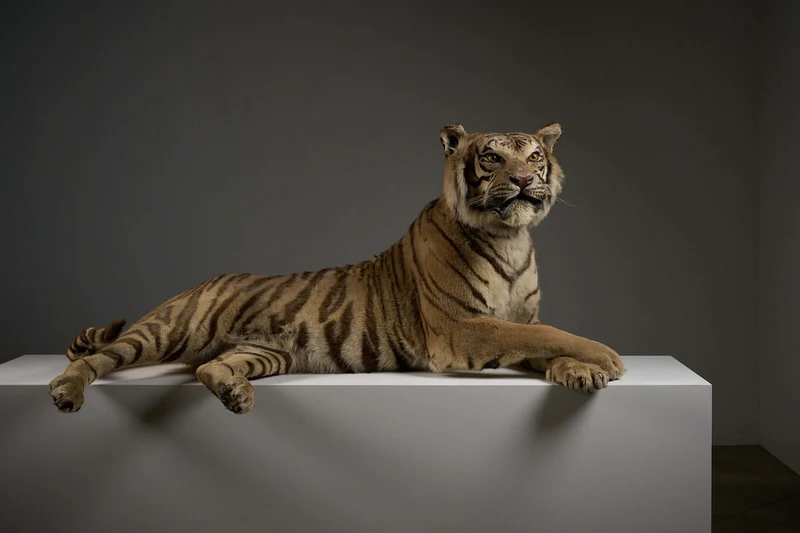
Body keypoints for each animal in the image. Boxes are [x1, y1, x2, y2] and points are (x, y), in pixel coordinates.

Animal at [49, 122, 626, 415]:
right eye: (491, 158)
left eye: (534, 157)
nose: (526, 180)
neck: (509, 237)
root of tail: (202, 282)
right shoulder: (461, 329)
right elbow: (550, 334)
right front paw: (607, 358)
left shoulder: (513, 323)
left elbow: (545, 340)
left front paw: (581, 371)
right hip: (167, 331)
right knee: (94, 359)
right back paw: (66, 394)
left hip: (266, 352)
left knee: (208, 370)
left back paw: (236, 394)